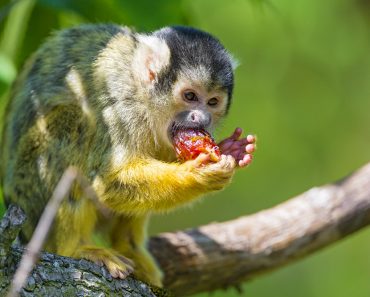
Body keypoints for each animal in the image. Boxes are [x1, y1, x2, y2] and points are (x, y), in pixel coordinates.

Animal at [0, 24, 254, 286]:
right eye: (190, 96)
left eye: (212, 102)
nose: (201, 118)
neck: (145, 101)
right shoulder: (122, 106)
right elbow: (108, 182)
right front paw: (198, 174)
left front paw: (230, 149)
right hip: (29, 190)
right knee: (74, 120)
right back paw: (75, 248)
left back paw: (128, 247)